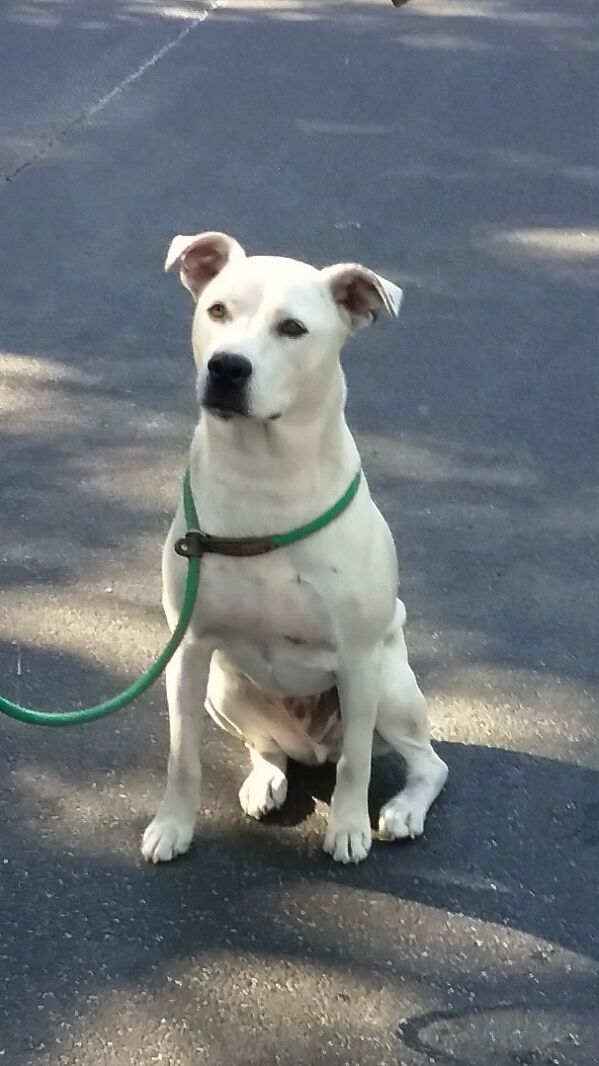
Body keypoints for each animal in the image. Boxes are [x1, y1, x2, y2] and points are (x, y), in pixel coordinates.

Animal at [141, 233, 445, 865]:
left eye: (293, 328)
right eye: (217, 311)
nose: (227, 366)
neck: (263, 476)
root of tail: (312, 746)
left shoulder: (357, 660)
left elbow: (356, 765)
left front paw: (349, 828)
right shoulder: (187, 652)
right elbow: (183, 758)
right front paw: (173, 825)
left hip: (391, 688)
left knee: (424, 762)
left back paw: (403, 809)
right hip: (225, 687)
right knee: (269, 746)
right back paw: (267, 779)